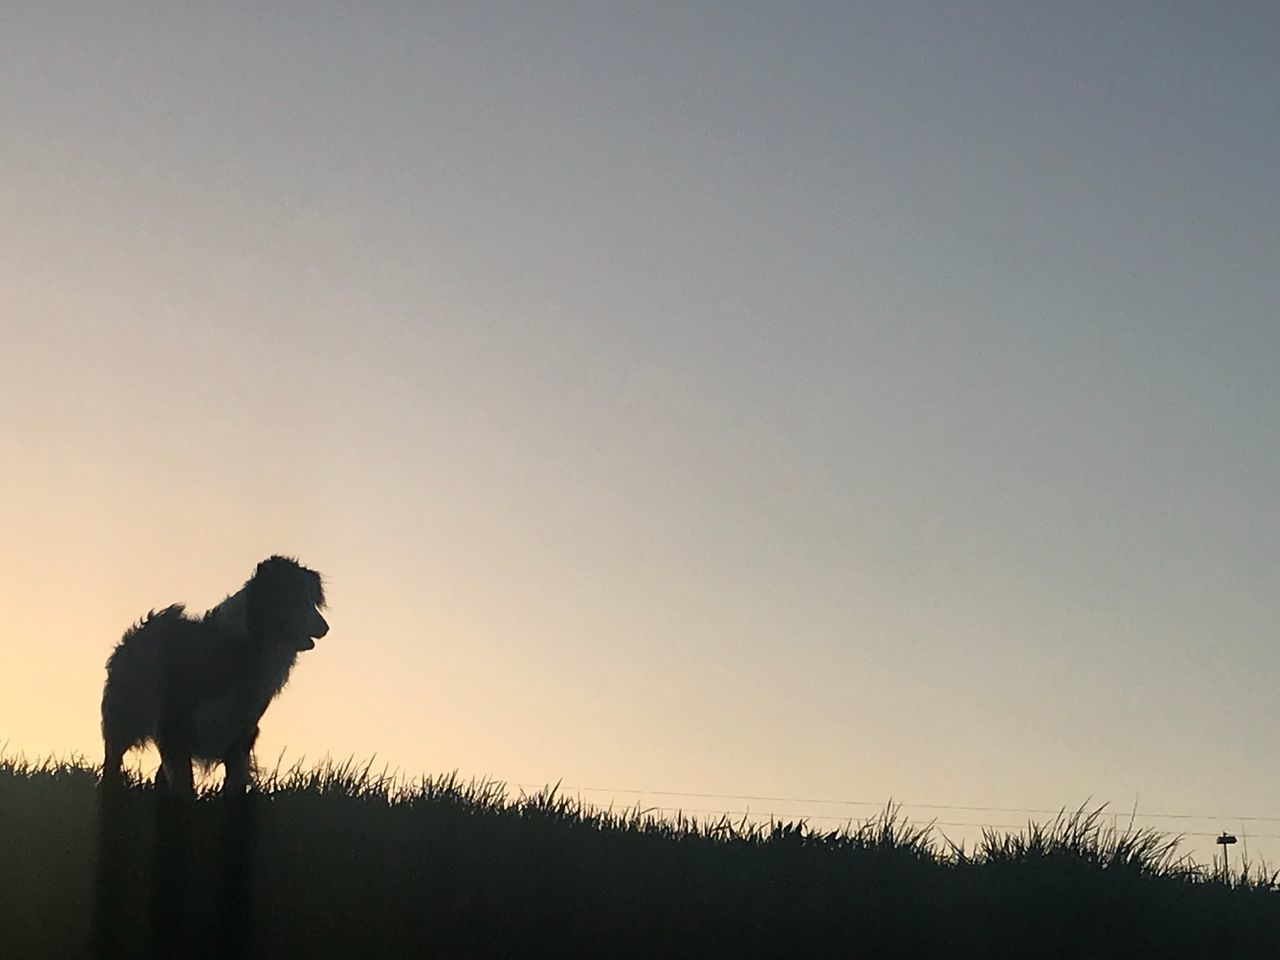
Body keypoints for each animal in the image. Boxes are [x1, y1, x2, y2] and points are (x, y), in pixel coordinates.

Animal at [102, 555, 330, 798]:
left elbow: (233, 781)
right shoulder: (176, 722)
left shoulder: (242, 730)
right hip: (125, 713)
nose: (325, 627)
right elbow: (184, 783)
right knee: (113, 756)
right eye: (297, 598)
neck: (245, 644)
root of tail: (146, 625)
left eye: (312, 601)